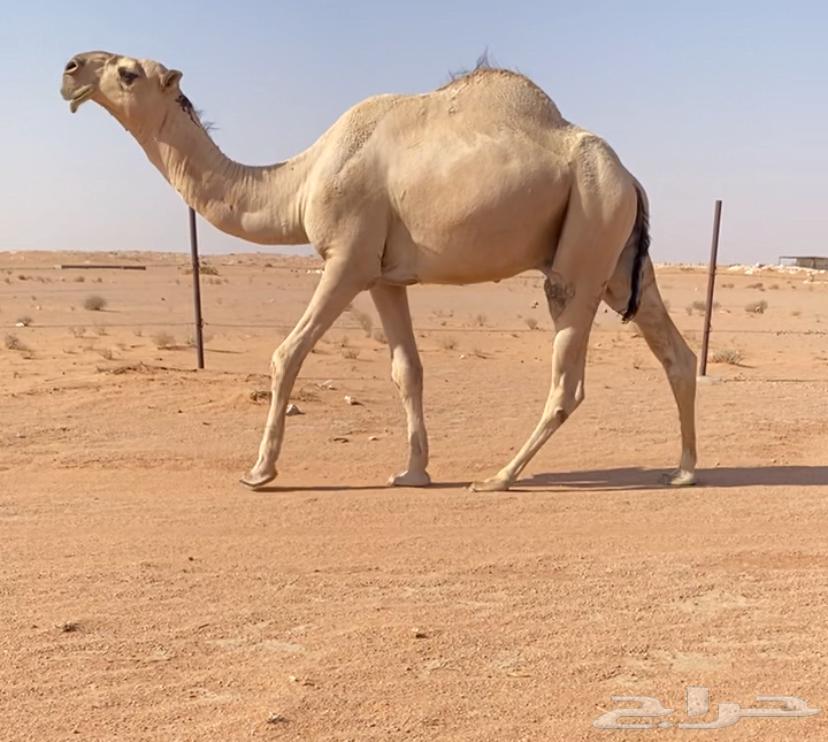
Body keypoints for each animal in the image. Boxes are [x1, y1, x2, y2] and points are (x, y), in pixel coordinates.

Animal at [60, 51, 697, 491]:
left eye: (128, 72)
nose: (69, 69)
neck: (301, 179)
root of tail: (630, 176)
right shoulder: (386, 277)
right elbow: (406, 370)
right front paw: (412, 472)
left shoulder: (347, 258)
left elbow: (287, 353)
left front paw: (259, 471)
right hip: (617, 258)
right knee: (675, 351)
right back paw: (685, 470)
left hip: (588, 230)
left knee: (568, 372)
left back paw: (499, 477)